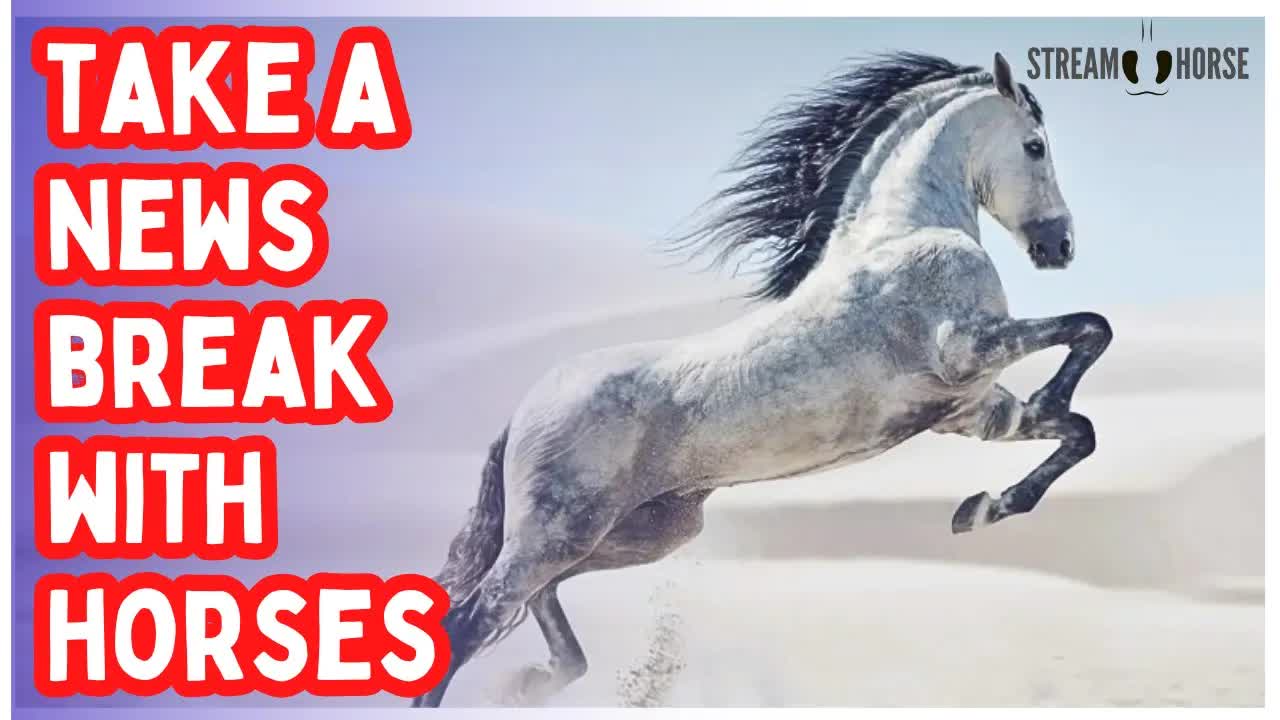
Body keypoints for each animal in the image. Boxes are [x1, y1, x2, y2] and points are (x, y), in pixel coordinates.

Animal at [414, 51, 1111, 707]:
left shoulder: (971, 409)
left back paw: (532, 682)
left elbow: (1079, 430)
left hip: (640, 534)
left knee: (537, 607)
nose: (1061, 247)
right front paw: (1040, 410)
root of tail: (521, 412)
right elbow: (1091, 327)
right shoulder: (967, 349)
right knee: (467, 625)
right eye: (1035, 145)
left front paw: (981, 509)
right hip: (557, 533)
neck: (904, 233)